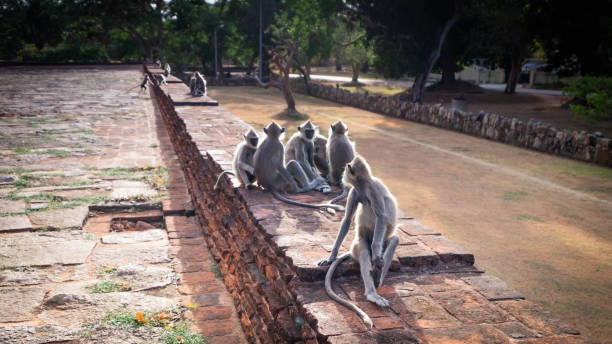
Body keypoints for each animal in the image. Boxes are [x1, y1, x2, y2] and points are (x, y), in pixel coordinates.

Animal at [318, 156, 400, 328]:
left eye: (346, 169)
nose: (343, 176)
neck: (364, 185)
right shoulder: (355, 191)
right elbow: (347, 220)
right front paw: (331, 257)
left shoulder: (373, 189)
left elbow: (381, 217)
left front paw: (376, 259)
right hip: (358, 244)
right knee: (363, 250)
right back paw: (372, 291)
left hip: (380, 242)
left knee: (394, 239)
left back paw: (377, 279)